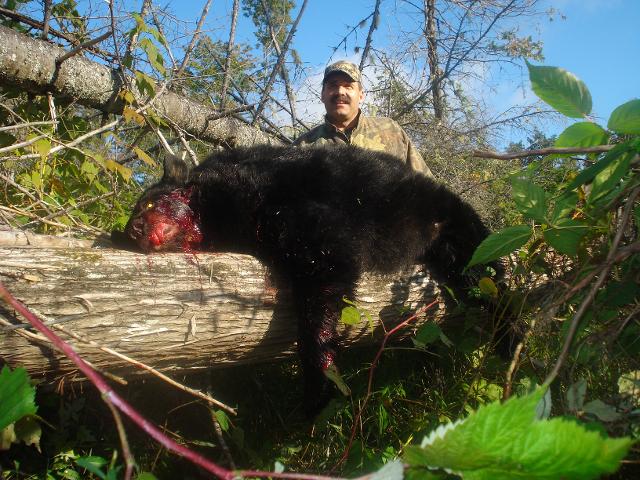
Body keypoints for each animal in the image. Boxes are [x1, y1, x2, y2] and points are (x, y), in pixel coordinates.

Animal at [112, 144, 498, 416]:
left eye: (148, 205)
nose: (132, 230)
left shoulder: (287, 206)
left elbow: (329, 262)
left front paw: (319, 382)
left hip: (451, 222)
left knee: (488, 275)